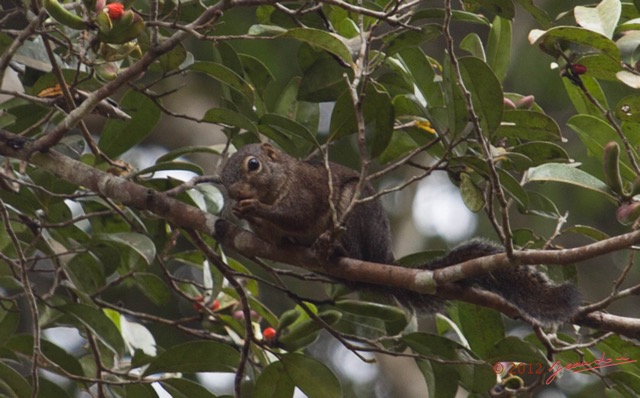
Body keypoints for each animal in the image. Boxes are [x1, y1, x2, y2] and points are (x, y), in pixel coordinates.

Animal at [219, 143, 580, 326]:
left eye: (253, 165)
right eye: (222, 176)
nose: (233, 193)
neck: (282, 179)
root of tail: (382, 258)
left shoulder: (306, 192)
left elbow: (295, 214)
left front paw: (254, 208)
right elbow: (274, 239)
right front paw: (235, 214)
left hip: (354, 212)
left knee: (352, 250)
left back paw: (334, 250)